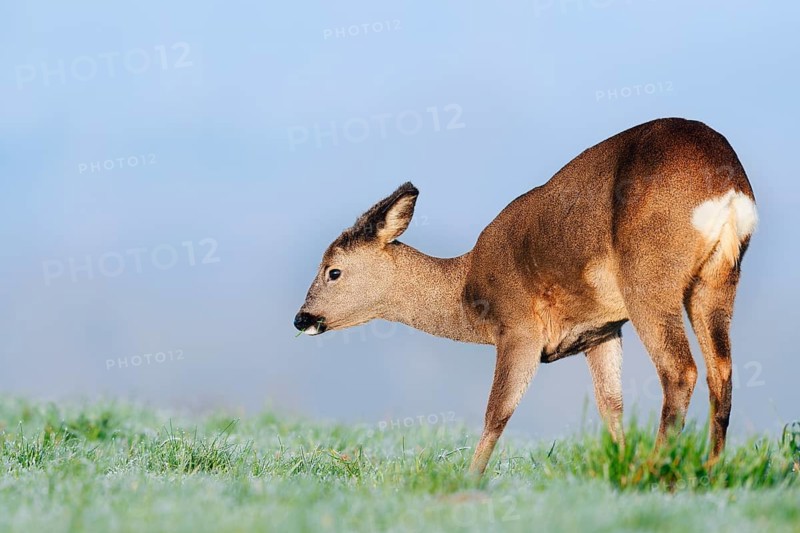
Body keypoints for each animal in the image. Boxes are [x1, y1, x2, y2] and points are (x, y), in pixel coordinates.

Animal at [293, 117, 758, 475]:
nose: (301, 318)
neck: (467, 289)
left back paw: (655, 471)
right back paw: (711, 470)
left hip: (649, 277)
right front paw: (619, 458)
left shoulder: (518, 326)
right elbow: (611, 404)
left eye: (333, 270)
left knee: (680, 370)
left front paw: (471, 479)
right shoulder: (602, 330)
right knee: (721, 371)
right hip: (718, 280)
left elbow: (497, 411)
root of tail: (729, 185)